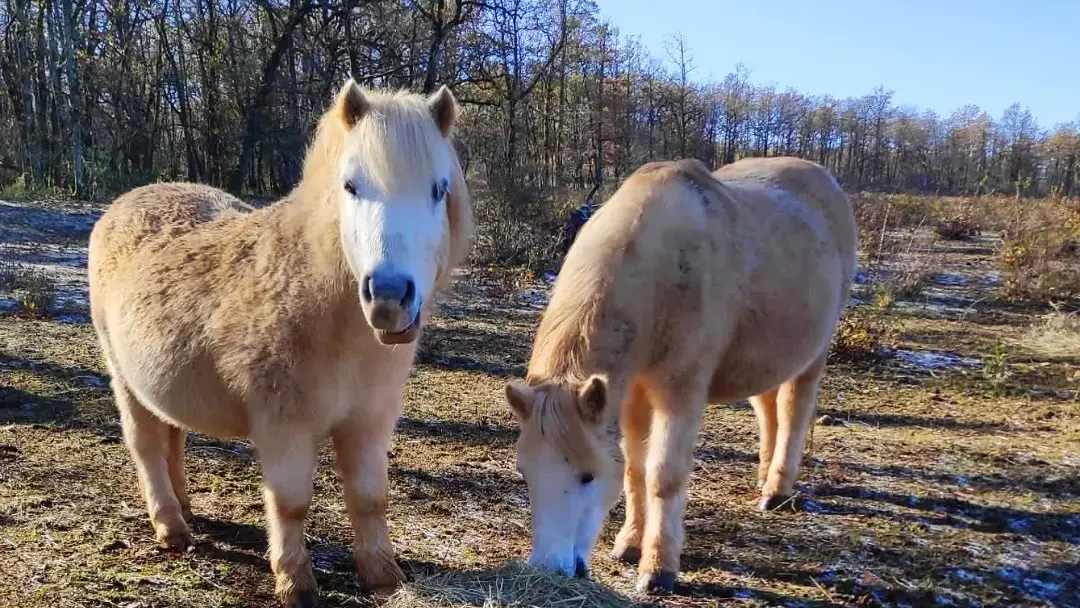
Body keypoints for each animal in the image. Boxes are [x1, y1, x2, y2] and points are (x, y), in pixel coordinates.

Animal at [87, 80, 475, 607]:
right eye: (351, 186)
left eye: (439, 190)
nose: (389, 298)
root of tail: (123, 203)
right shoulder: (283, 427)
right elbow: (291, 503)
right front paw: (294, 581)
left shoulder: (369, 423)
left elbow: (369, 498)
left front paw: (382, 575)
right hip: (123, 379)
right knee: (146, 446)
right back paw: (170, 527)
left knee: (172, 439)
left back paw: (185, 509)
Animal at [503, 156, 857, 594]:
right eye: (526, 473)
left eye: (587, 475)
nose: (548, 570)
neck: (660, 274)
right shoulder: (631, 394)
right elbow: (635, 470)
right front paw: (629, 544)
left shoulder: (680, 392)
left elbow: (662, 476)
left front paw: (657, 569)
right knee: (769, 412)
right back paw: (763, 477)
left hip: (813, 357)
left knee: (794, 413)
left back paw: (776, 491)